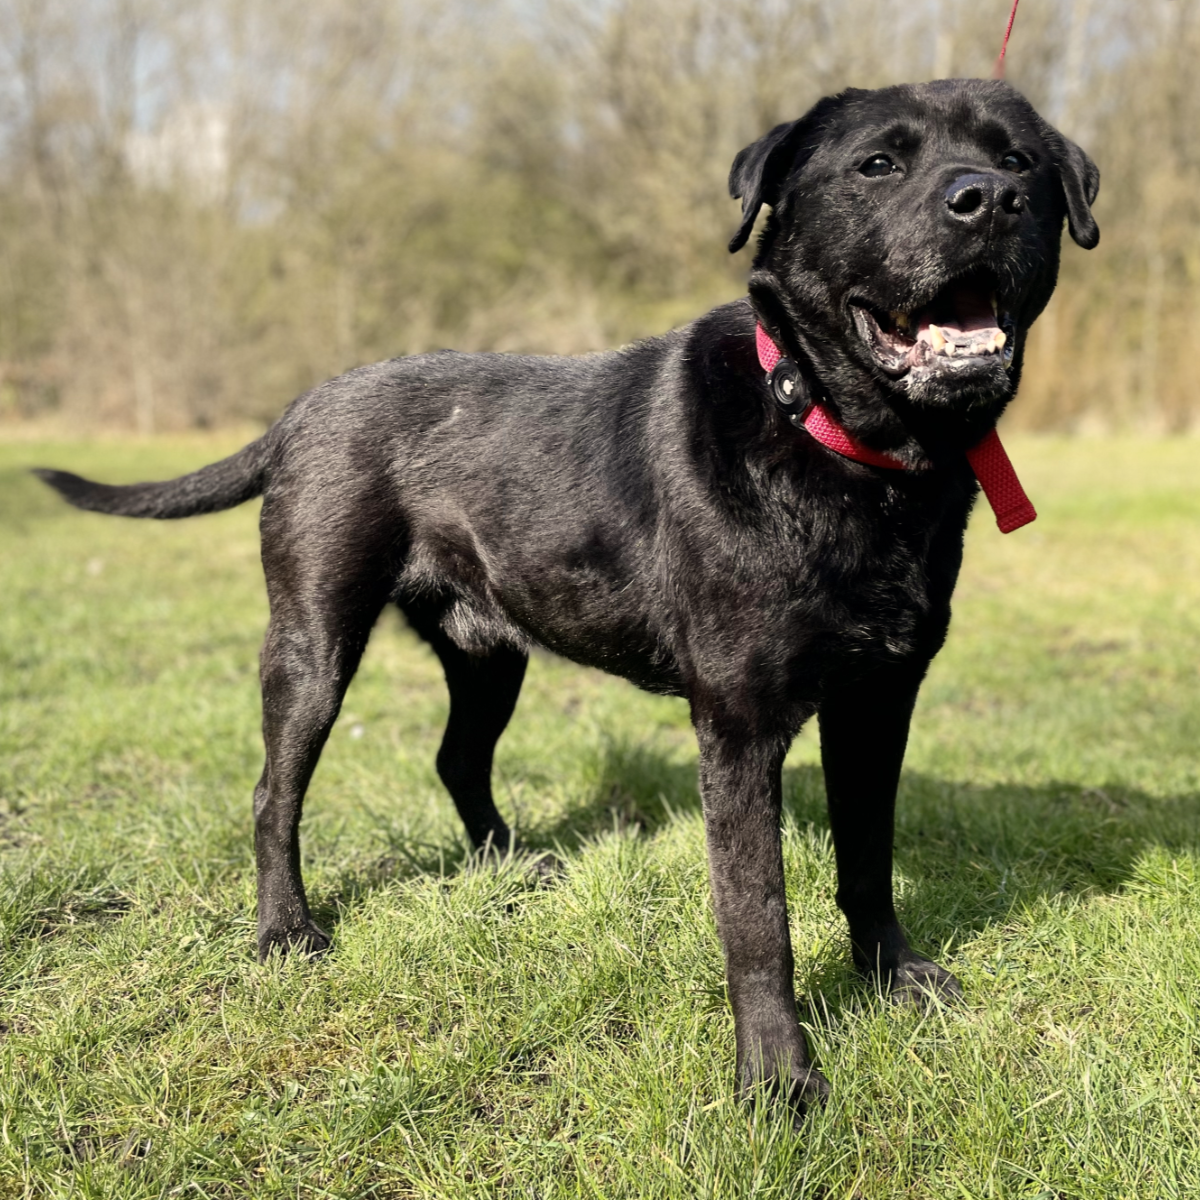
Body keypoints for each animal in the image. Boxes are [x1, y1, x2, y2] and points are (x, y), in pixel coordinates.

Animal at [35, 82, 1099, 1113]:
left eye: (1018, 162)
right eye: (878, 164)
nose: (988, 199)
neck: (840, 441)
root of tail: (299, 410)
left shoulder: (880, 699)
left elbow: (867, 853)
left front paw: (897, 976)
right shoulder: (740, 724)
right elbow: (758, 915)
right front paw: (777, 1083)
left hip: (487, 654)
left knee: (456, 757)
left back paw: (509, 863)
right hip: (312, 644)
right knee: (273, 792)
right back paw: (285, 933)